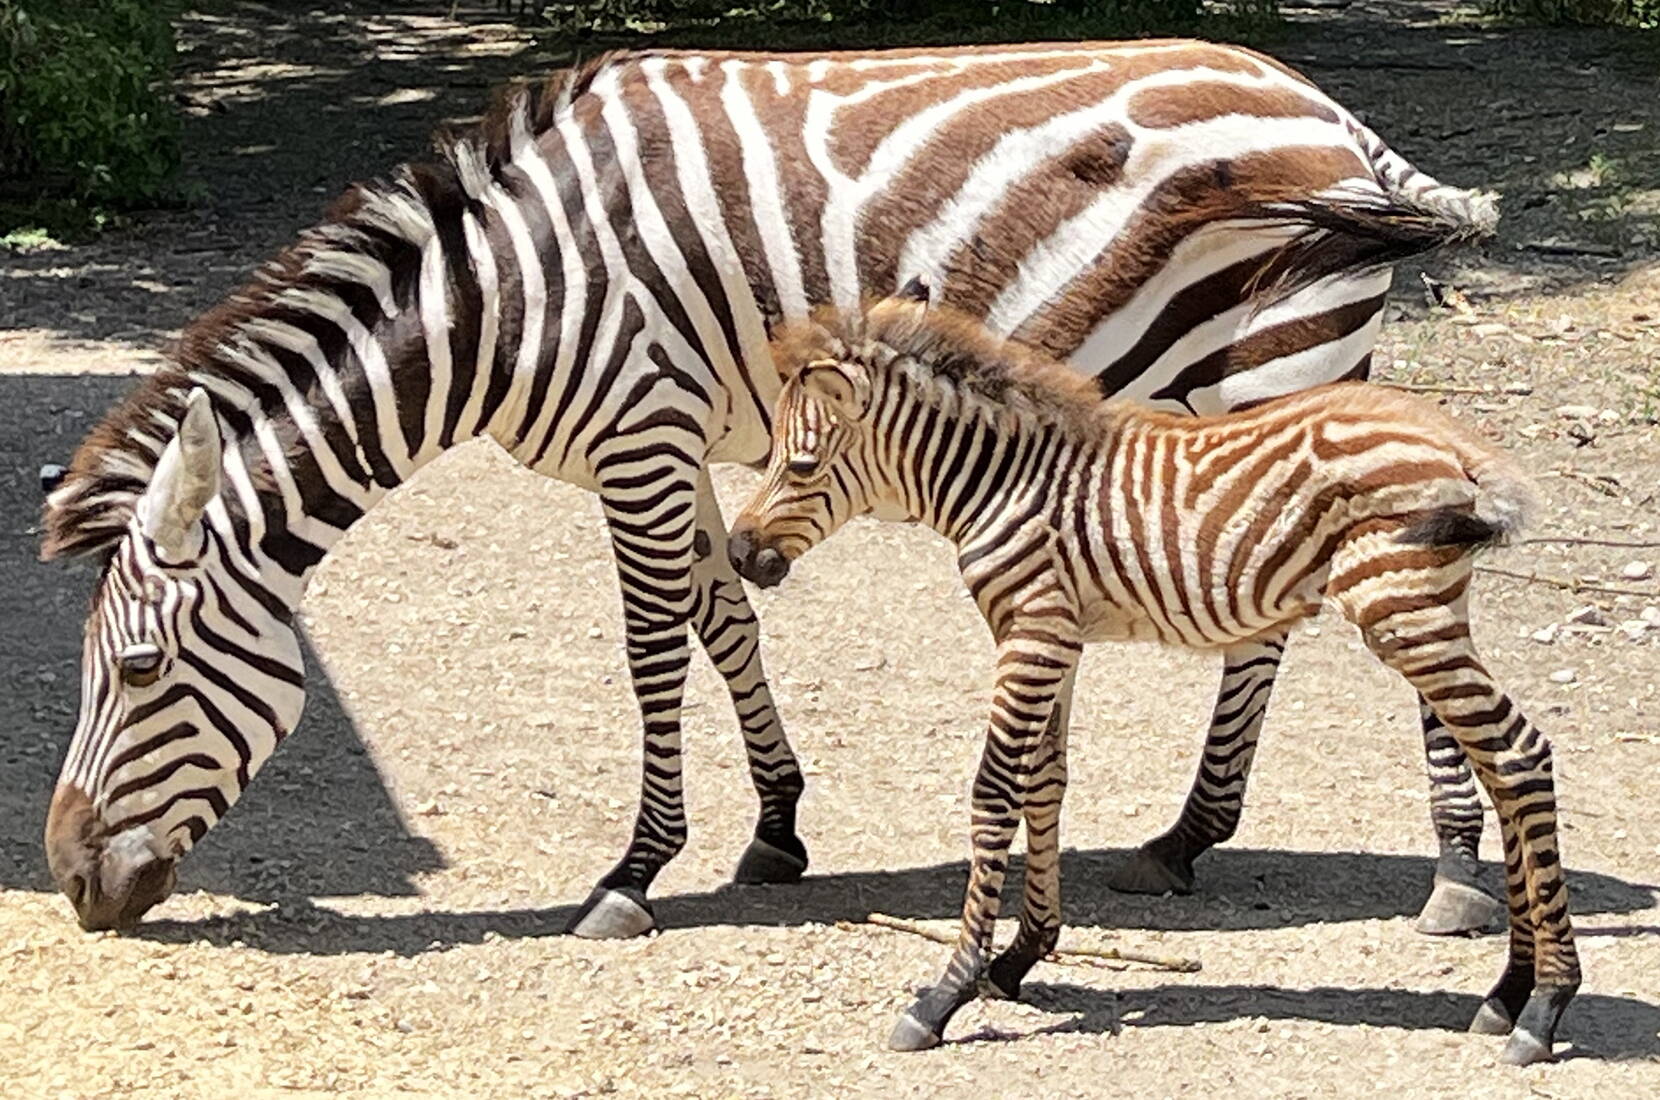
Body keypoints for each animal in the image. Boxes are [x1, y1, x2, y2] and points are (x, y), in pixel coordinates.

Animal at [40, 41, 1496, 936]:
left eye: (141, 672)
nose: (64, 878)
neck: (503, 299)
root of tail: (1332, 111)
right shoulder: (668, 442)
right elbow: (722, 614)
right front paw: (779, 825)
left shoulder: (639, 431)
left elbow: (649, 647)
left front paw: (634, 870)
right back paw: (1232, 836)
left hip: (1284, 361)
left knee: (1315, 608)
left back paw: (1406, 862)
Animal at [728, 291, 1577, 1064]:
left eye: (798, 465)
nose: (737, 552)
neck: (998, 483)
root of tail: (1461, 445)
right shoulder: (1058, 636)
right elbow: (1046, 784)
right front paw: (1021, 954)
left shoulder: (1030, 631)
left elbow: (994, 792)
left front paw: (946, 992)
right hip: (1426, 610)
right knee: (1505, 766)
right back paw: (1506, 995)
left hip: (1400, 609)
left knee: (1519, 755)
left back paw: (1543, 1009)